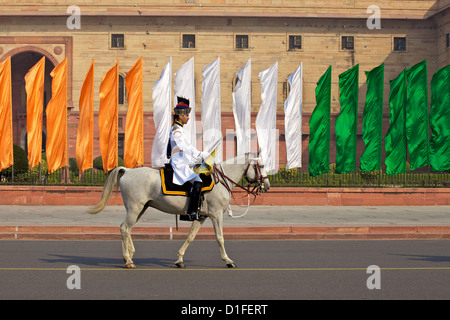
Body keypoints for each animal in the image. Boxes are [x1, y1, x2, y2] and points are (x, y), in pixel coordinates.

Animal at [89, 154, 268, 268]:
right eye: (262, 166)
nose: (266, 186)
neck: (221, 181)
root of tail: (128, 170)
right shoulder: (216, 215)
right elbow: (220, 238)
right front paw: (228, 260)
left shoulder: (201, 216)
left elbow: (190, 237)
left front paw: (180, 259)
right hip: (135, 208)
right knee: (125, 228)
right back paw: (128, 260)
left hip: (140, 208)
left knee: (126, 228)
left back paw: (130, 254)